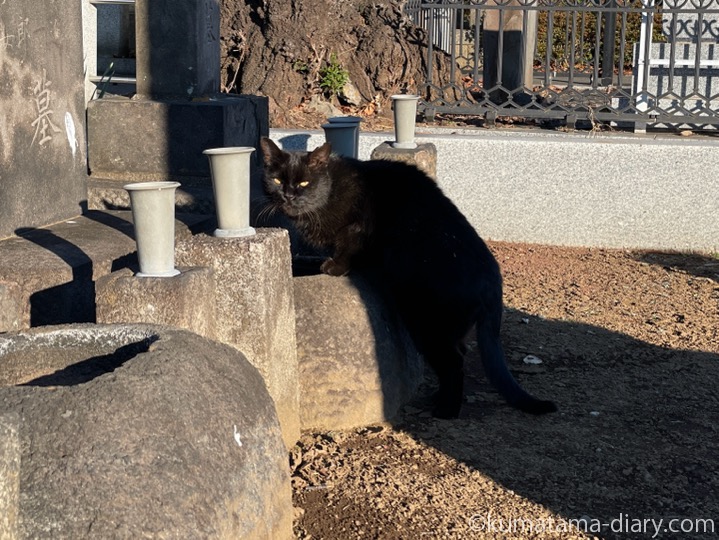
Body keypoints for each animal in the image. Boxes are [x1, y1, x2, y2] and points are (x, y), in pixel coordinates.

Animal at [260, 138, 556, 418]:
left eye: (304, 182)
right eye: (277, 180)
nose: (288, 195)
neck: (330, 193)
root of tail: (494, 281)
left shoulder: (357, 226)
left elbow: (348, 246)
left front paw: (335, 266)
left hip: (428, 325)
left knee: (454, 364)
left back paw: (446, 410)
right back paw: (437, 398)